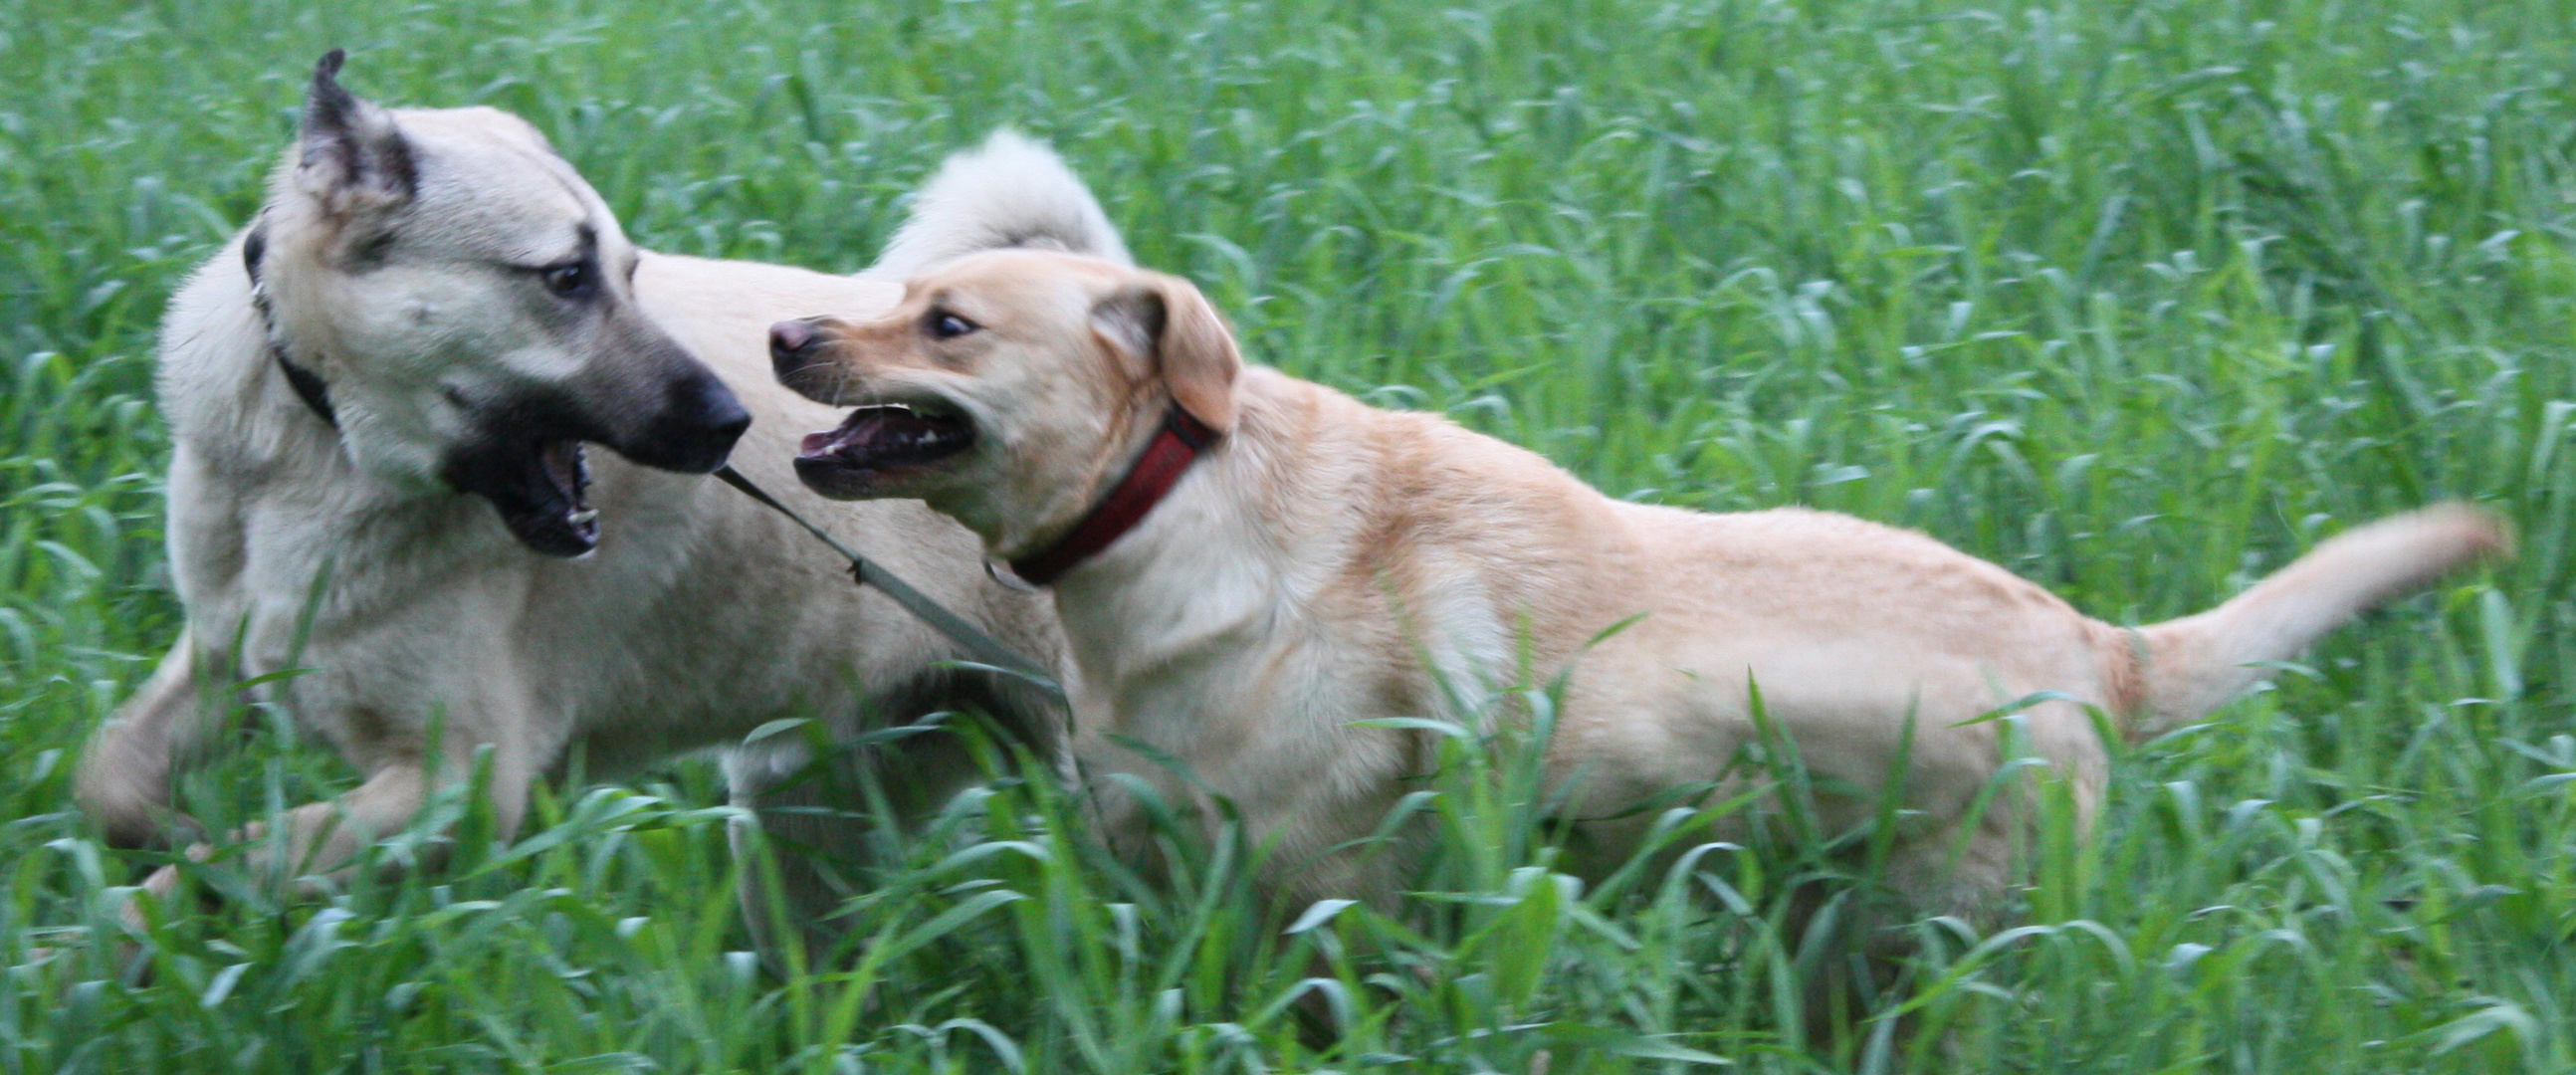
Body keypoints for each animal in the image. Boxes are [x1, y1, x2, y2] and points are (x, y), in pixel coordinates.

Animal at [772, 247, 2503, 928]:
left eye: (948, 324)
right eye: (896, 292)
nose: (785, 337)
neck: (1173, 512)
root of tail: (2097, 648)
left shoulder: (1327, 890)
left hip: (1953, 922)